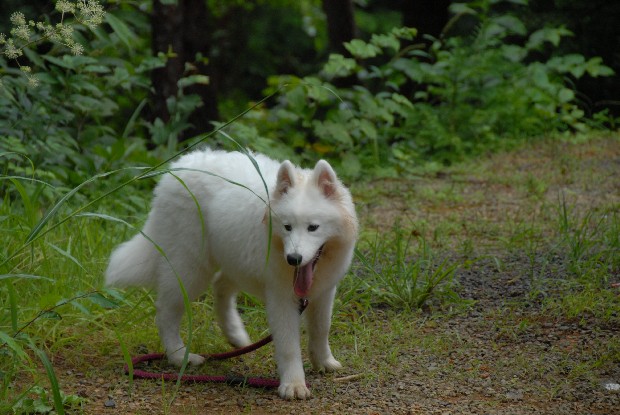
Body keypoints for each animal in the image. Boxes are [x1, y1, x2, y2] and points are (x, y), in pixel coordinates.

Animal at [106, 150, 358, 400]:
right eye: (287, 227)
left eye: (313, 227)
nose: (293, 258)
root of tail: (176, 168)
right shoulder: (281, 298)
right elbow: (288, 345)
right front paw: (293, 385)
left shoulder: (324, 292)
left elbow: (321, 329)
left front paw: (324, 362)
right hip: (190, 269)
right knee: (166, 312)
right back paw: (179, 356)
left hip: (232, 261)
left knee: (220, 288)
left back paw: (236, 336)